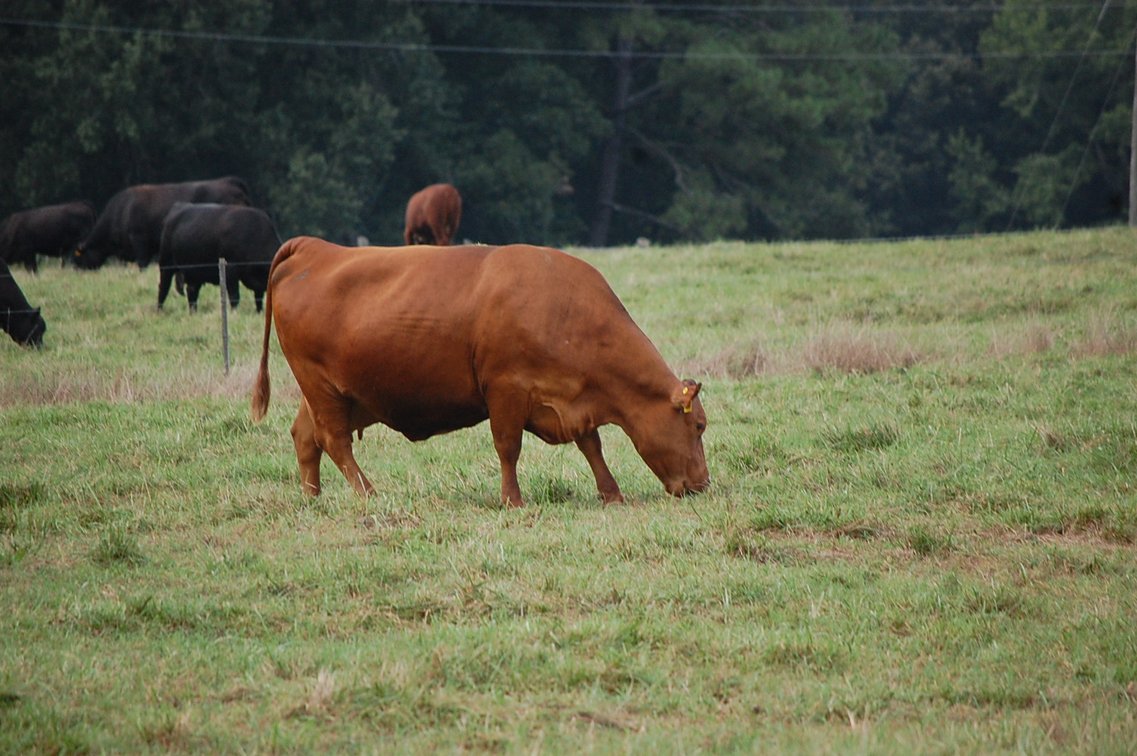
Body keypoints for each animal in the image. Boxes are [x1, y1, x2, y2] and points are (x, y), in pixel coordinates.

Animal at [74, 177, 250, 269]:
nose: (79, 270)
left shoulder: (139, 239)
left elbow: (142, 263)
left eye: (81, 257)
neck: (122, 210)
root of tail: (228, 181)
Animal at [251, 236, 710, 507]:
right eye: (700, 425)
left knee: (306, 436)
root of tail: (315, 248)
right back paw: (368, 493)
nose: (703, 484)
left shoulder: (573, 400)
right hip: (321, 387)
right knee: (334, 441)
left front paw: (611, 494)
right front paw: (513, 500)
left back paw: (312, 498)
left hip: (336, 395)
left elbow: (591, 446)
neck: (564, 310)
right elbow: (508, 448)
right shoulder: (506, 391)